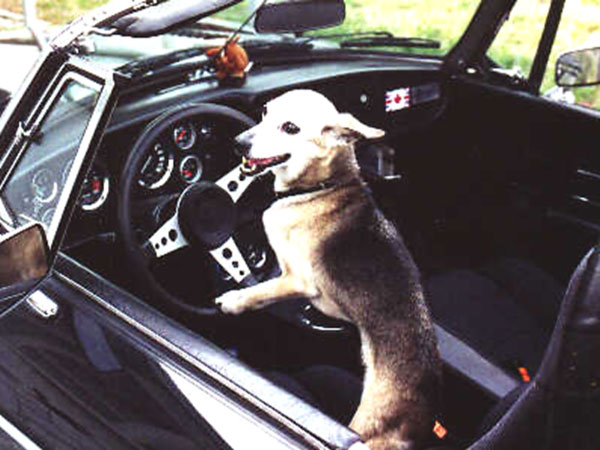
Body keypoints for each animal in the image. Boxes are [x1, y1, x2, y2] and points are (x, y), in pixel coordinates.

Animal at [216, 89, 440, 448]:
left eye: (290, 128)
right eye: (264, 111)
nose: (238, 143)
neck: (323, 186)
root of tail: (425, 411)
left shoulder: (295, 279)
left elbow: (260, 290)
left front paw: (235, 301)